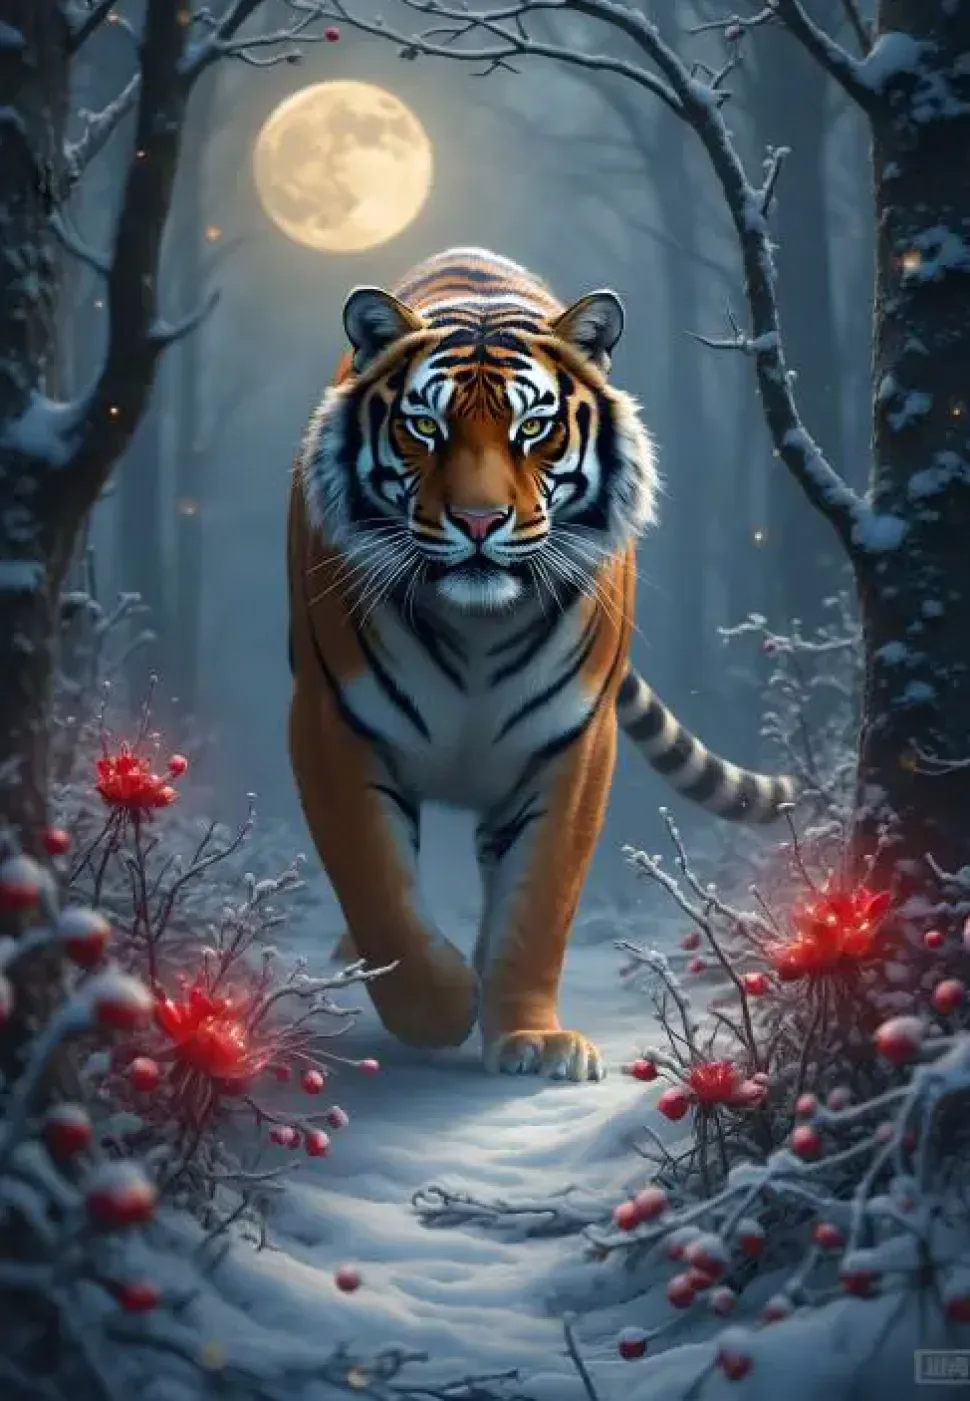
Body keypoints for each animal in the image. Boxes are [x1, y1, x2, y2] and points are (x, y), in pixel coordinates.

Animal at [286, 246, 796, 1082]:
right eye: (424, 425)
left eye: (534, 428)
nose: (479, 521)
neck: (475, 627)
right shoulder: (332, 725)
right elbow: (378, 890)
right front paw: (440, 1004)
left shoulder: (573, 745)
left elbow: (539, 905)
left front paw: (530, 1036)